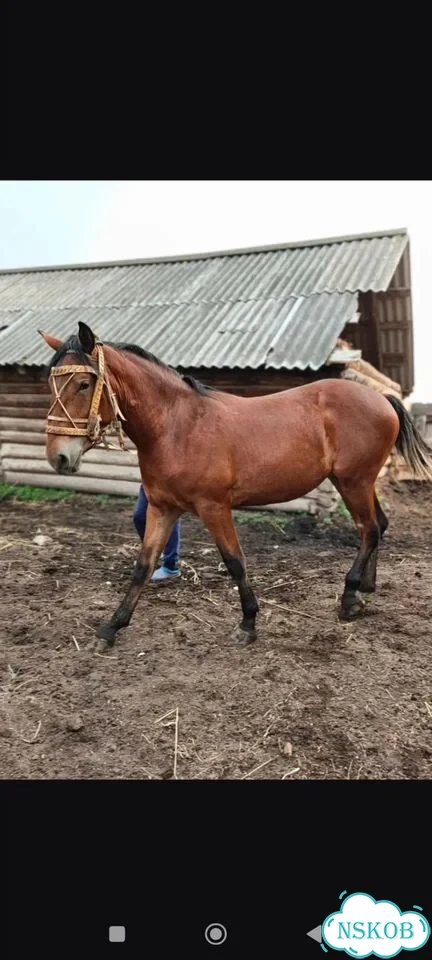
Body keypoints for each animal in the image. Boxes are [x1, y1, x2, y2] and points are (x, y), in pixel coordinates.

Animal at [40, 321, 432, 653]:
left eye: (84, 384)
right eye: (52, 385)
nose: (59, 457)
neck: (177, 427)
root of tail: (381, 399)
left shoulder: (214, 507)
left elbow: (235, 562)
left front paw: (248, 623)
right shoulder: (162, 508)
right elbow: (143, 565)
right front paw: (111, 628)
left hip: (353, 481)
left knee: (368, 529)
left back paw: (350, 597)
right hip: (357, 481)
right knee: (378, 526)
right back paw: (366, 588)